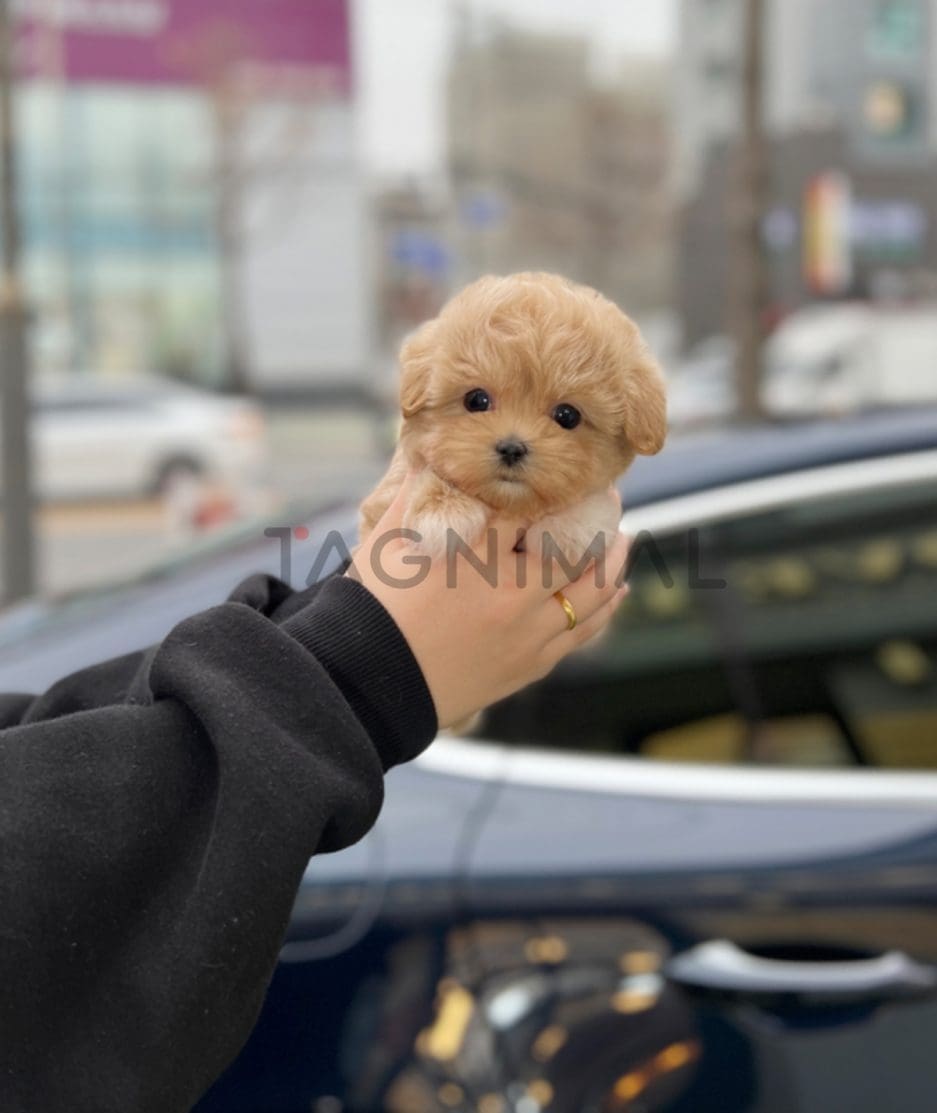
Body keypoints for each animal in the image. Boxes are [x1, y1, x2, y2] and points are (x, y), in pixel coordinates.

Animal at [358, 269, 663, 565]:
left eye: (567, 416)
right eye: (476, 399)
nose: (512, 448)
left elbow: (594, 506)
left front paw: (571, 526)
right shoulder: (388, 496)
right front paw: (441, 510)